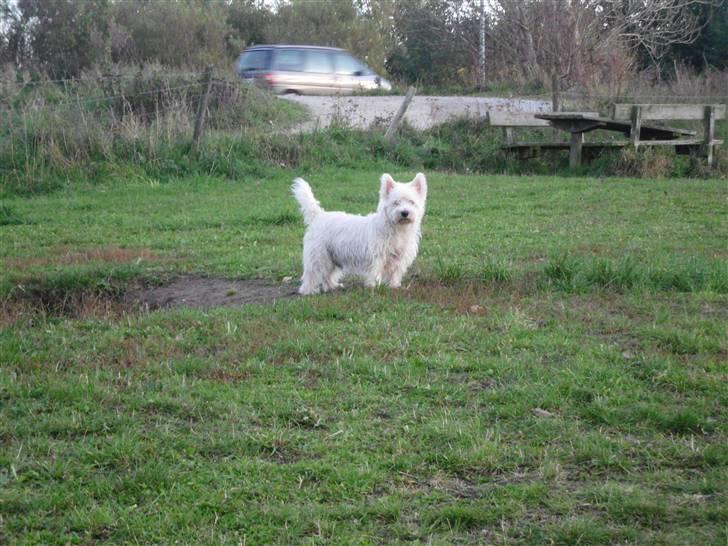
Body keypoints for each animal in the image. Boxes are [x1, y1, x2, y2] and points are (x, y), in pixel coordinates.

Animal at [290, 173, 426, 294]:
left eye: (411, 202)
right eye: (396, 202)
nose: (405, 213)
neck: (398, 229)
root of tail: (319, 215)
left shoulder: (400, 257)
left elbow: (395, 272)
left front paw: (394, 285)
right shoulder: (377, 256)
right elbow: (375, 272)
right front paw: (374, 287)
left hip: (332, 256)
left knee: (328, 274)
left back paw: (332, 286)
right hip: (318, 256)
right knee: (312, 273)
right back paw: (309, 291)